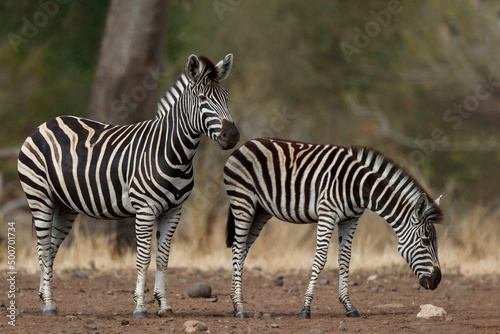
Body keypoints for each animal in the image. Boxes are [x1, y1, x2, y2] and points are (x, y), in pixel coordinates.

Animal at [17, 53, 240, 318]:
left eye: (227, 97)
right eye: (203, 99)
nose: (232, 136)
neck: (174, 153)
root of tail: (46, 123)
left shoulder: (173, 211)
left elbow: (163, 259)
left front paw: (164, 306)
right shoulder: (145, 210)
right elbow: (143, 259)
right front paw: (140, 307)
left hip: (65, 206)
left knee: (49, 249)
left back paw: (45, 298)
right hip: (39, 196)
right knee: (42, 248)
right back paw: (49, 305)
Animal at [225, 138, 444, 318]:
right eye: (425, 241)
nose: (437, 280)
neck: (359, 187)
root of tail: (247, 143)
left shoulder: (351, 219)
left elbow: (345, 259)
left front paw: (349, 306)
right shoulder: (327, 214)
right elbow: (321, 258)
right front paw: (306, 308)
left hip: (260, 211)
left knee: (241, 250)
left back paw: (236, 305)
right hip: (243, 202)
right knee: (237, 248)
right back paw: (241, 309)